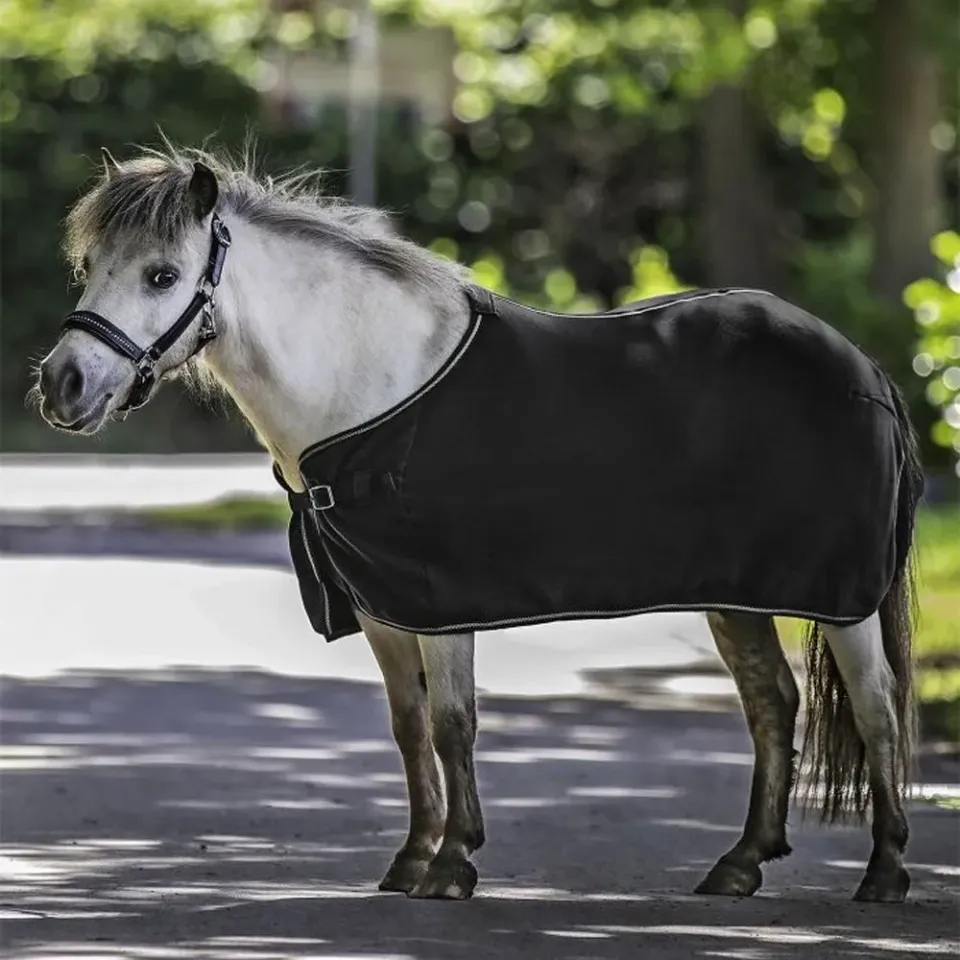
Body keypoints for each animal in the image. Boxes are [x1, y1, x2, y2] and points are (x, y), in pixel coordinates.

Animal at [36, 146, 921, 904]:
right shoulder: (382, 607)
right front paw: (411, 857)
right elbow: (408, 727)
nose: (62, 384)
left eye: (162, 274)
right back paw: (740, 865)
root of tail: (866, 367)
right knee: (773, 703)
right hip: (737, 595)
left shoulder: (439, 601)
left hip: (842, 598)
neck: (368, 385)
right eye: (90, 267)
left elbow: (453, 724)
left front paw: (453, 863)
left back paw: (883, 872)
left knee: (877, 706)